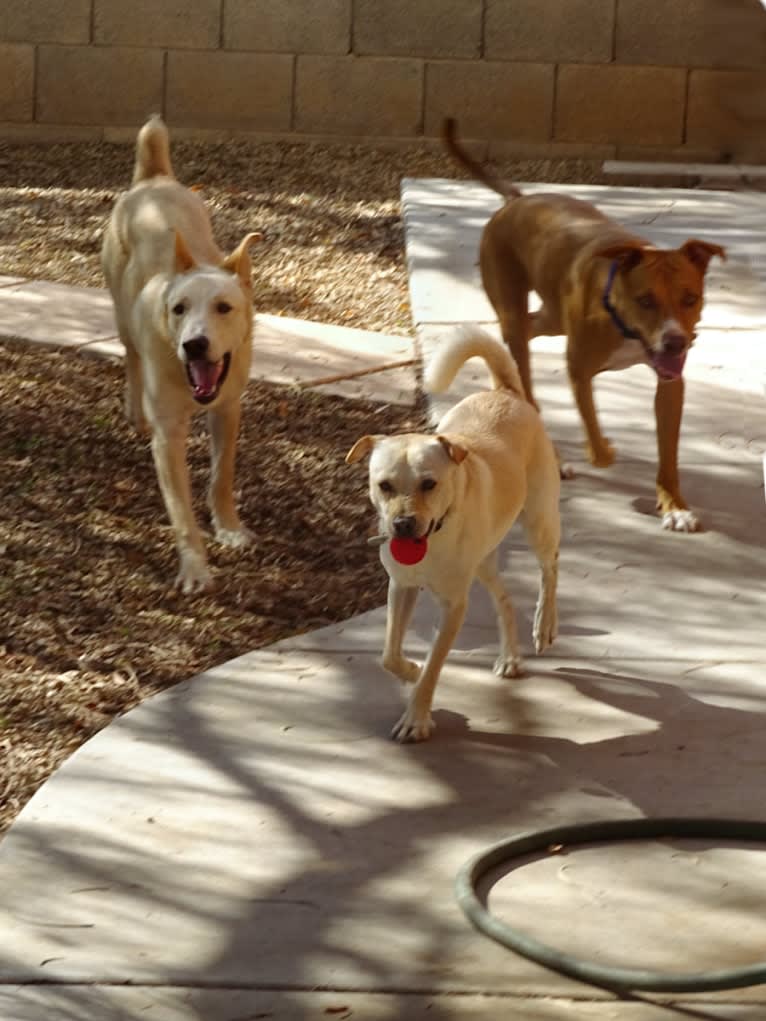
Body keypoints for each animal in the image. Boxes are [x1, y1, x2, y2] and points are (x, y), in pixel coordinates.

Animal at [102, 113, 259, 592]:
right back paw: (135, 409)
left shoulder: (228, 409)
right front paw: (195, 566)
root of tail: (154, 179)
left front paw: (229, 527)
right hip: (121, 311)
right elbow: (180, 510)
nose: (194, 344)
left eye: (224, 307)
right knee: (130, 356)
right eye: (179, 308)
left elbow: (222, 476)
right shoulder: (169, 435)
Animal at [347, 326, 559, 743]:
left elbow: (434, 667)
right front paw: (409, 670)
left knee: (550, 569)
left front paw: (416, 718)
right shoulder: (401, 587)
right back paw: (509, 657)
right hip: (484, 562)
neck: (432, 539)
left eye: (429, 484)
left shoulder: (453, 606)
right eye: (384, 485)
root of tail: (507, 393)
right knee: (505, 600)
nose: (402, 525)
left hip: (539, 522)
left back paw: (545, 626)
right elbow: (389, 655)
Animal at [443, 117, 727, 535]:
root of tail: (516, 201)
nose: (676, 342)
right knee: (524, 374)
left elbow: (669, 453)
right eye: (646, 300)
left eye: (690, 298)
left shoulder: (671, 384)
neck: (624, 324)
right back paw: (554, 452)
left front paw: (674, 504)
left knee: (527, 328)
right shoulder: (579, 367)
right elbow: (593, 429)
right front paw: (603, 449)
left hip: (550, 317)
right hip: (515, 307)